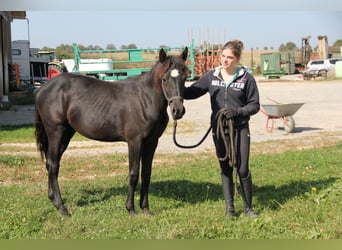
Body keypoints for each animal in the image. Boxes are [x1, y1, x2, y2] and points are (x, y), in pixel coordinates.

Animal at [34, 47, 190, 216]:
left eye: (184, 77)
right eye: (164, 79)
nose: (177, 110)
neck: (145, 100)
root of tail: (43, 89)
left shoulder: (151, 142)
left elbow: (146, 174)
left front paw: (146, 209)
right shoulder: (135, 142)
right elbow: (133, 174)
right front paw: (131, 209)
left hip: (66, 134)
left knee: (50, 163)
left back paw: (53, 200)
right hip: (56, 132)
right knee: (54, 165)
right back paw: (62, 208)